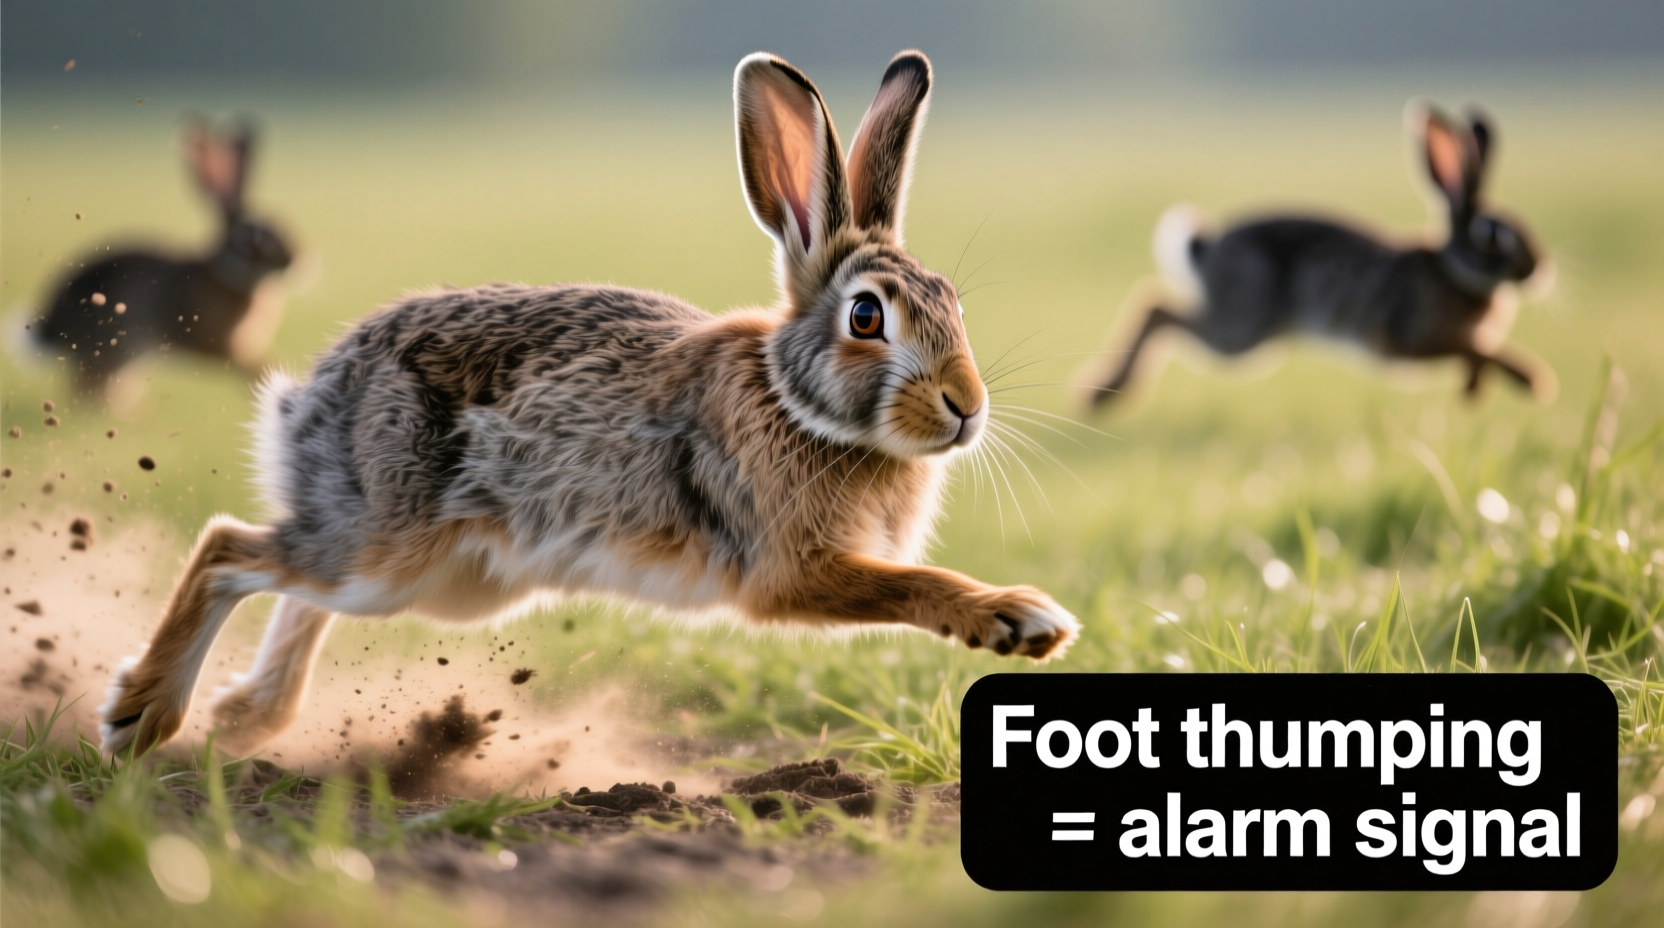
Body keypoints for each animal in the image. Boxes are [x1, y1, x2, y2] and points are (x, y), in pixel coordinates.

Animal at [97, 50, 1080, 756]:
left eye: (954, 303)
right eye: (866, 316)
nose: (966, 407)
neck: (796, 402)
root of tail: (312, 398)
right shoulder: (788, 567)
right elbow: (910, 584)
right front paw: (1019, 618)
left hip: (448, 585)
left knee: (297, 586)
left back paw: (248, 717)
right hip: (387, 550)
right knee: (230, 548)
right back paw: (142, 717)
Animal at [1091, 102, 1553, 408]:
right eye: (1490, 235)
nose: (1538, 269)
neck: (1450, 270)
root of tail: (1208, 247)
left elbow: (1479, 349)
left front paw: (1474, 391)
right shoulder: (1413, 339)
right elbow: (1479, 347)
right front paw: (1532, 381)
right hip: (1241, 330)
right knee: (1158, 307)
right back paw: (1103, 393)